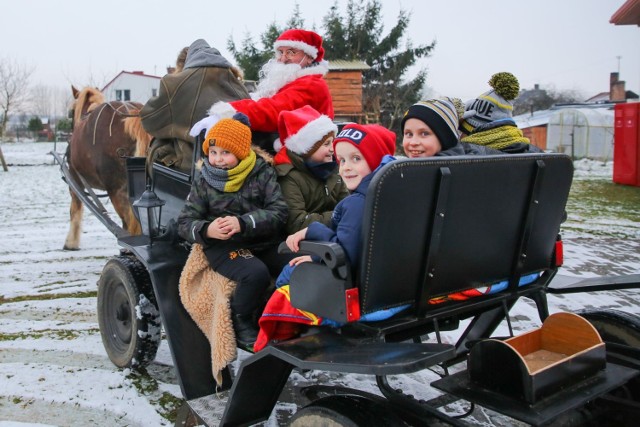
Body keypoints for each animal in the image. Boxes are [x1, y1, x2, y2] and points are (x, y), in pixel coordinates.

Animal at [63, 85, 152, 249]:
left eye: (71, 112)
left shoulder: (75, 181)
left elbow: (75, 209)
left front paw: (71, 243)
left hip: (116, 190)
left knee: (129, 221)